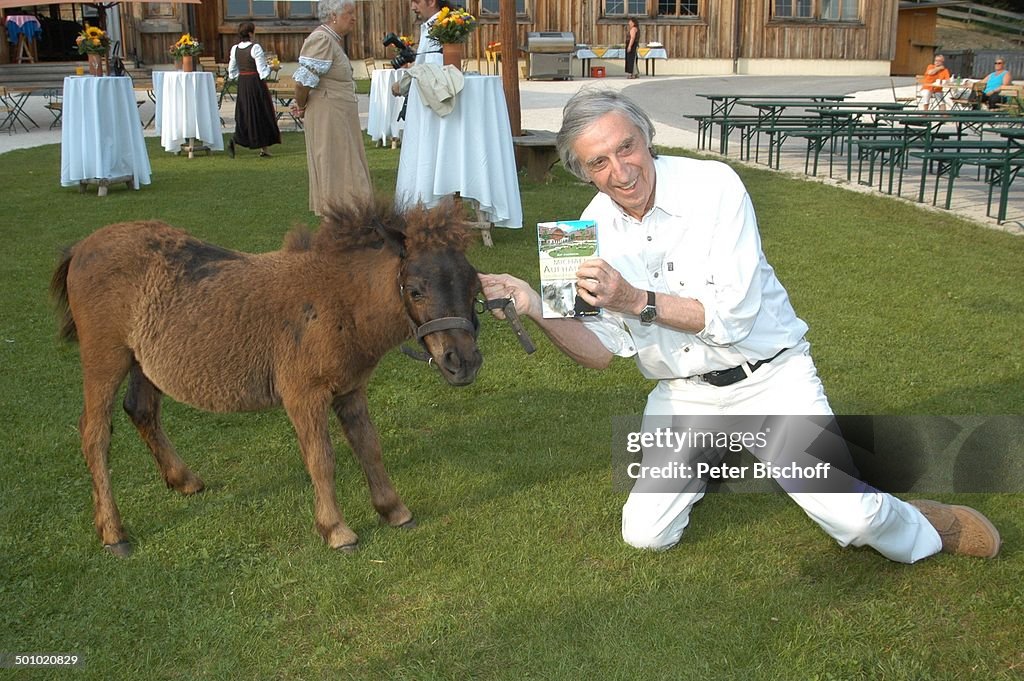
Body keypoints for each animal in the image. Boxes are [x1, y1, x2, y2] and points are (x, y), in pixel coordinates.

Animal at [47, 199, 479, 557]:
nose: (464, 361)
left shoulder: (351, 389)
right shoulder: (304, 394)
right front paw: (336, 531)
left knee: (141, 409)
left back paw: (183, 480)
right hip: (105, 357)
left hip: (144, 361)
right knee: (95, 433)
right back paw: (113, 533)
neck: (338, 300)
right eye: (416, 290)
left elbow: (369, 446)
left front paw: (394, 510)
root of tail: (82, 246)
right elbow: (321, 458)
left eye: (474, 284)